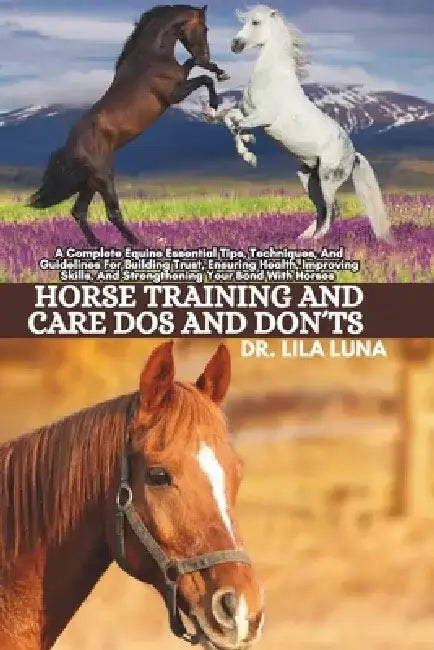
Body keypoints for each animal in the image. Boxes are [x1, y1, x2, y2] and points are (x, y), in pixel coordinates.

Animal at [28, 5, 229, 247]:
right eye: (205, 28)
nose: (205, 54)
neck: (152, 57)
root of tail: (70, 147)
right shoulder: (174, 94)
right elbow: (204, 79)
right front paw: (214, 105)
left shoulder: (181, 78)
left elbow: (193, 66)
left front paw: (218, 71)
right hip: (104, 177)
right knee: (112, 212)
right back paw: (137, 244)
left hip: (89, 182)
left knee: (79, 212)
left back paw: (99, 246)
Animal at [208, 5, 391, 241]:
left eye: (256, 22)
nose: (235, 45)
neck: (271, 78)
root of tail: (353, 155)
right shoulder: (247, 113)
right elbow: (230, 119)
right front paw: (249, 143)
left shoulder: (262, 117)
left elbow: (237, 125)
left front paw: (250, 156)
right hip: (308, 178)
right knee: (321, 209)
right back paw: (304, 237)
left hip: (328, 179)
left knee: (332, 209)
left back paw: (316, 239)